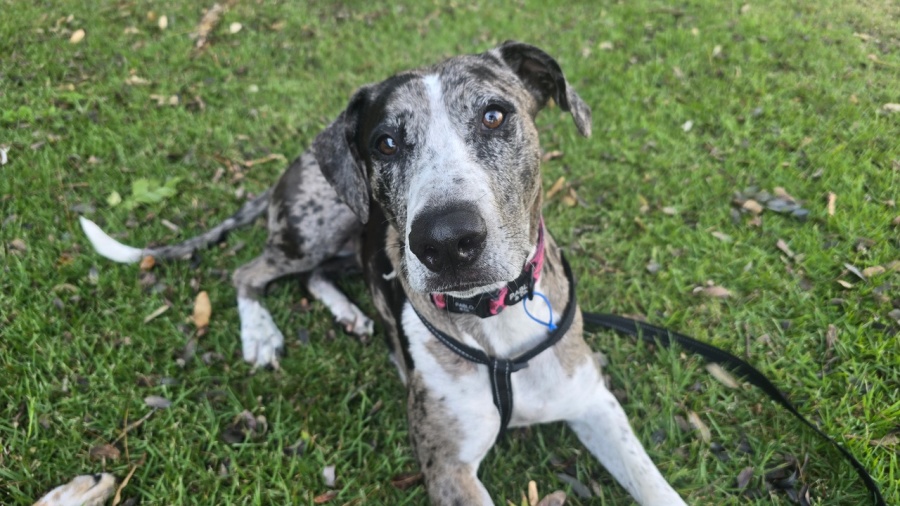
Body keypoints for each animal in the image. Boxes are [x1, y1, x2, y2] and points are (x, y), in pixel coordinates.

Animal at [80, 41, 686, 505]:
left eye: (494, 115)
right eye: (385, 143)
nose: (445, 241)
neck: (495, 318)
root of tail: (293, 166)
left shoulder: (595, 402)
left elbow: (655, 485)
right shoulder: (450, 469)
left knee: (314, 277)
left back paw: (349, 313)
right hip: (315, 225)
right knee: (250, 270)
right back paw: (261, 333)